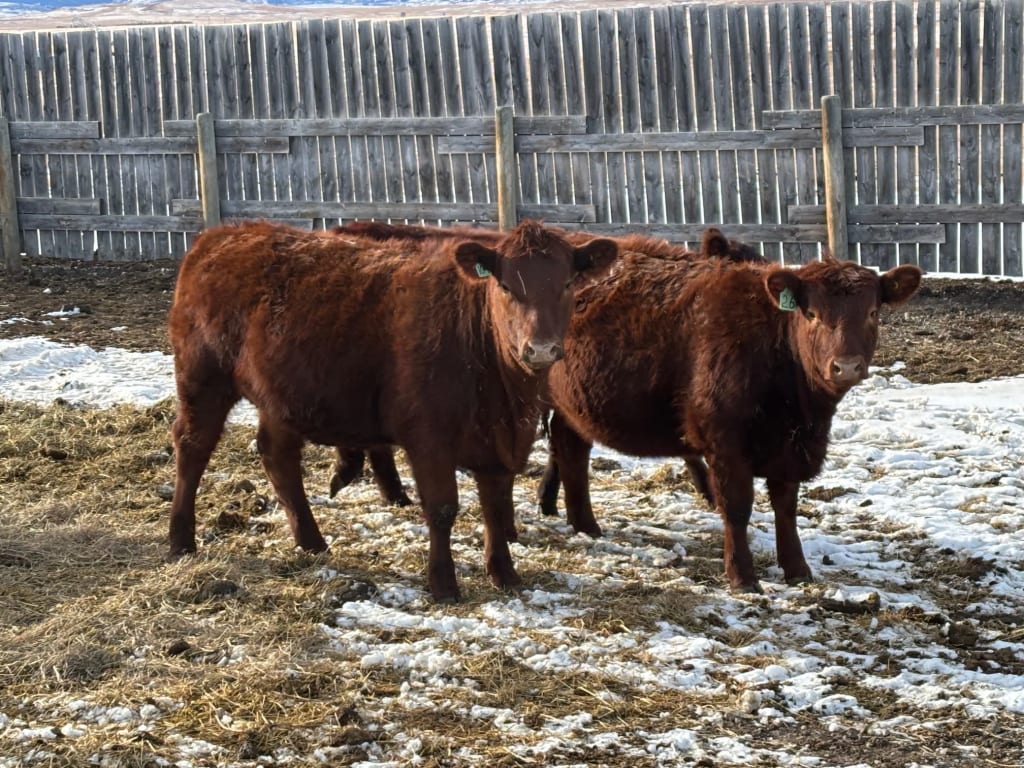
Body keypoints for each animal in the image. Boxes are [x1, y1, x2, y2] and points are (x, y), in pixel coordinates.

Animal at [167, 219, 618, 603]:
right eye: (506, 286)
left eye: (567, 283)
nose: (539, 349)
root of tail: (223, 234)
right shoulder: (428, 438)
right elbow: (442, 508)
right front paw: (443, 584)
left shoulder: (502, 440)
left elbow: (495, 505)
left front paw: (505, 574)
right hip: (203, 379)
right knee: (192, 448)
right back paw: (180, 540)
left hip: (279, 396)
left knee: (277, 456)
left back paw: (312, 542)